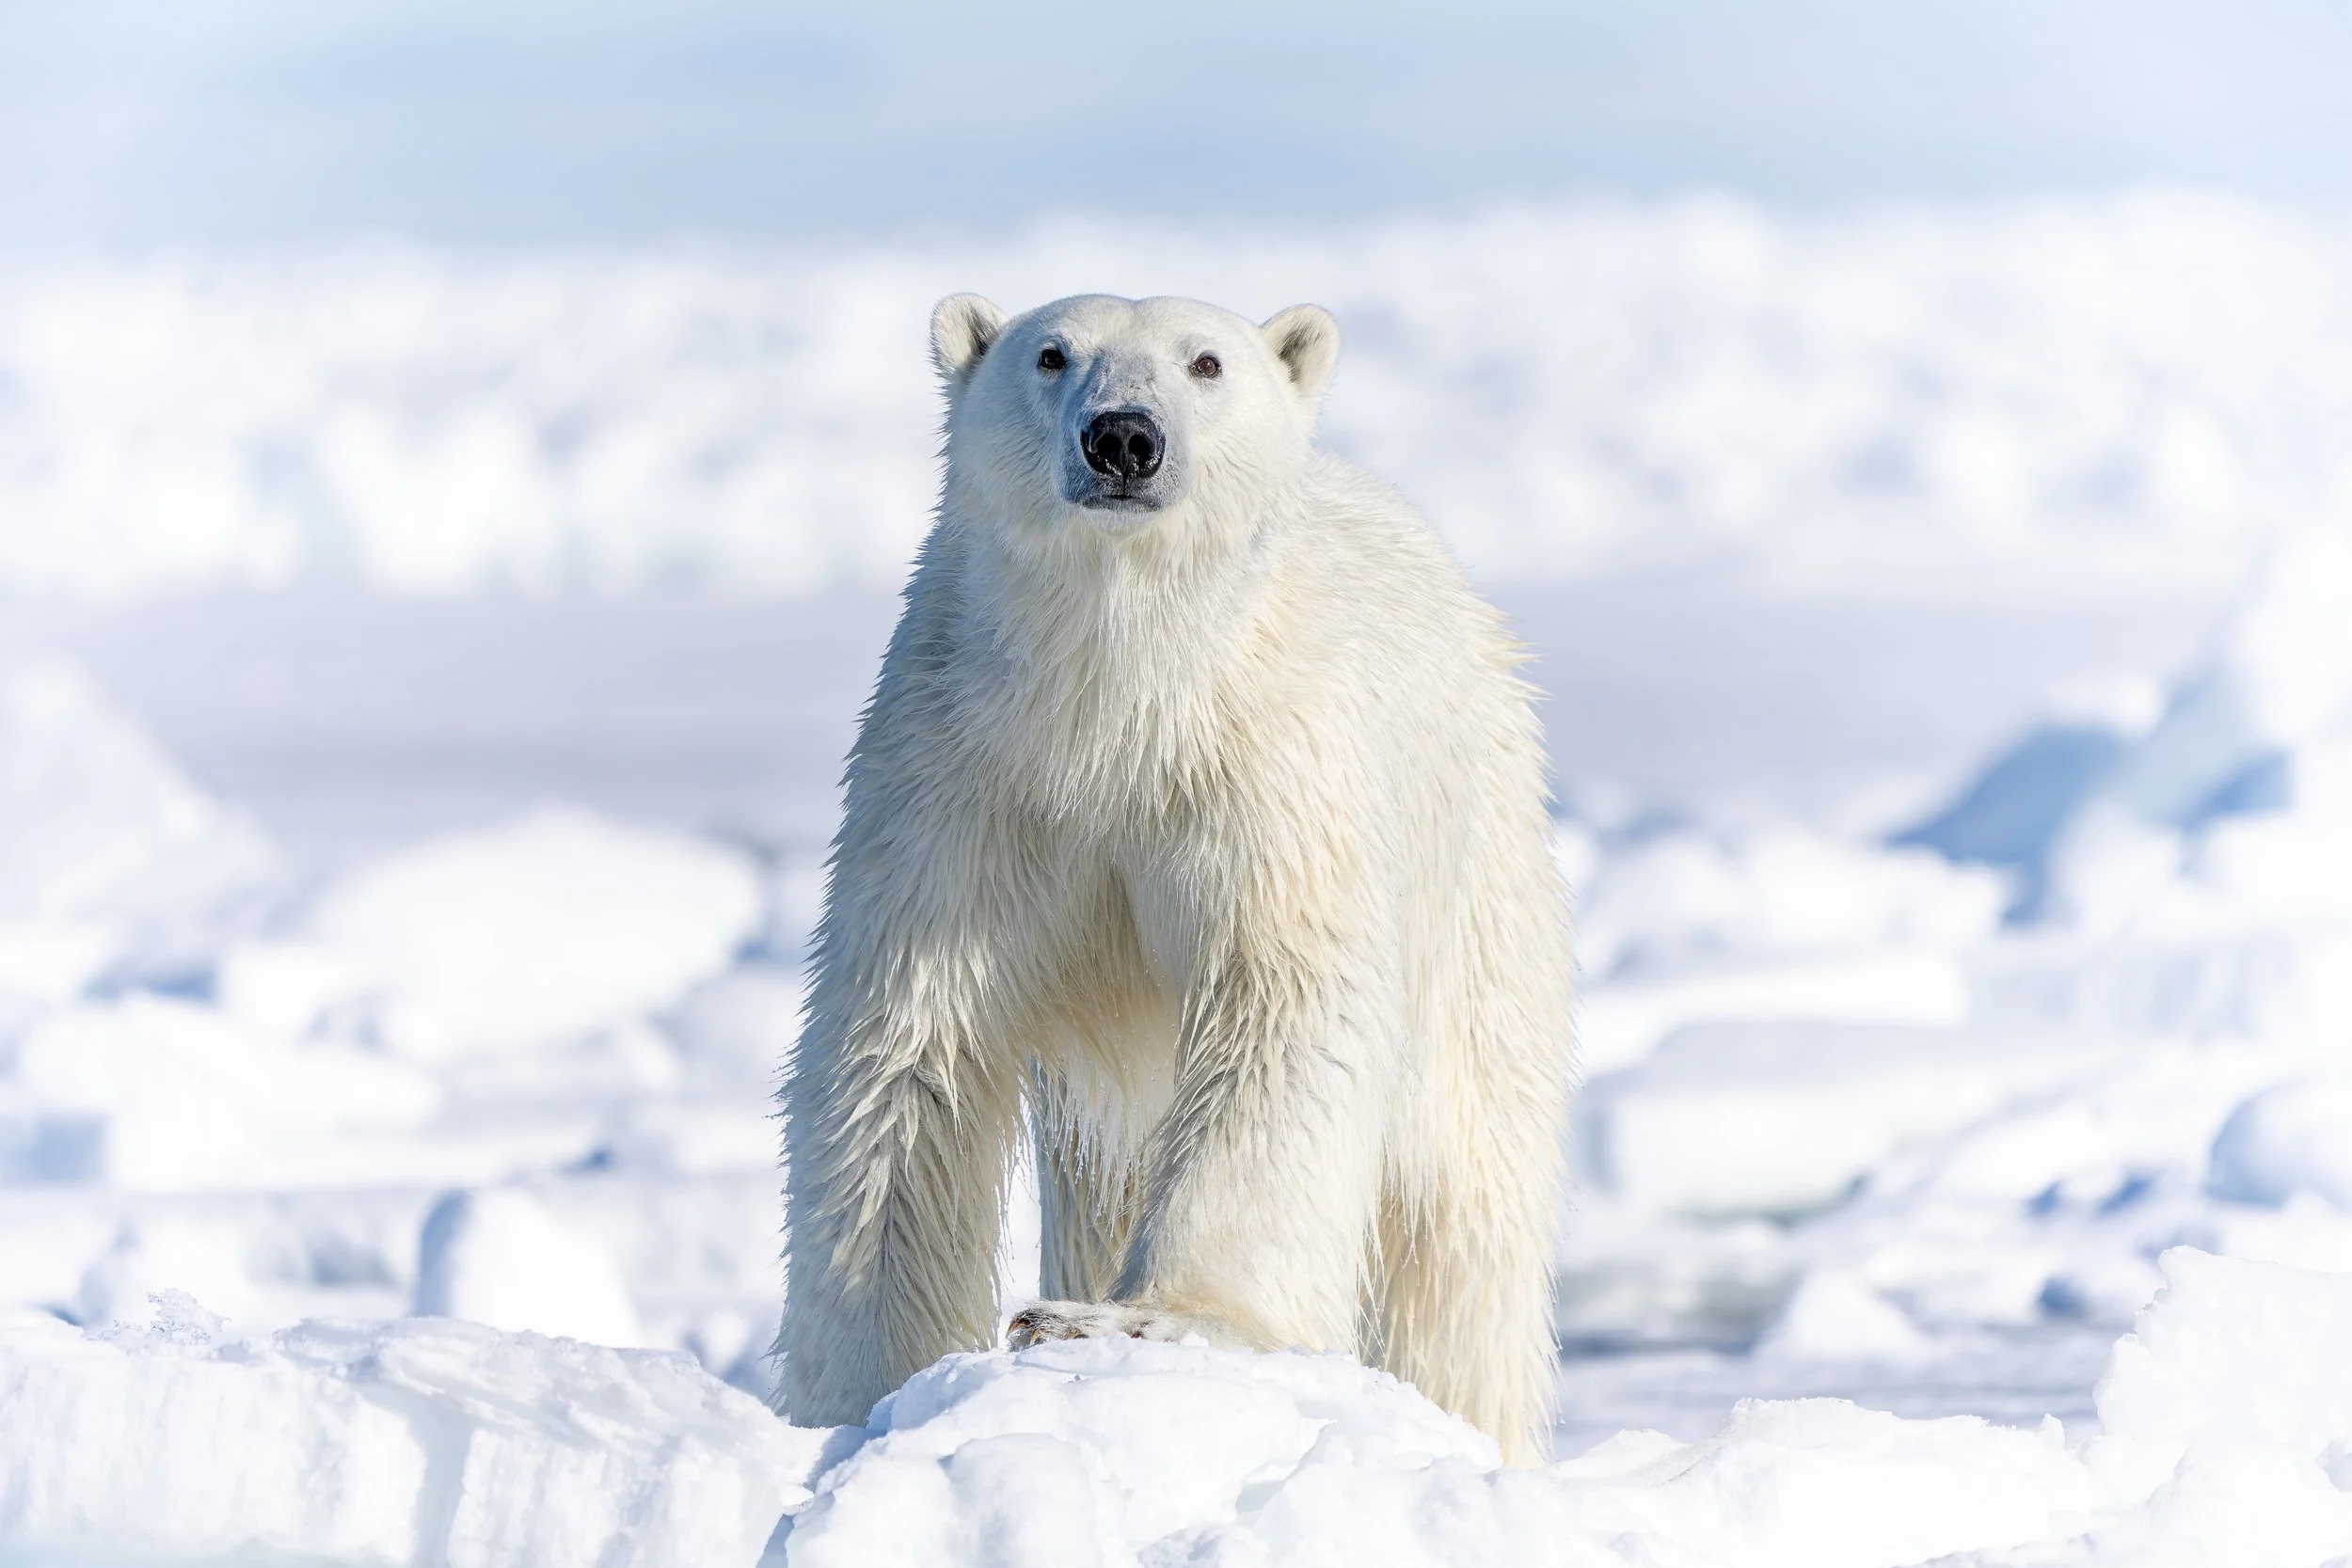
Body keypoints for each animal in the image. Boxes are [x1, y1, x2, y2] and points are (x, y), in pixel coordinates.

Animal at [776, 292, 1574, 1463]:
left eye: (1206, 361)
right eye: (1050, 354)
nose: (1122, 438)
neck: (1117, 699)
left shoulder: (1268, 770)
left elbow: (1281, 1006)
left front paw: (1134, 1319)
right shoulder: (958, 774)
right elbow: (908, 1054)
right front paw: (860, 1386)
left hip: (1478, 884)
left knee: (1464, 1223)